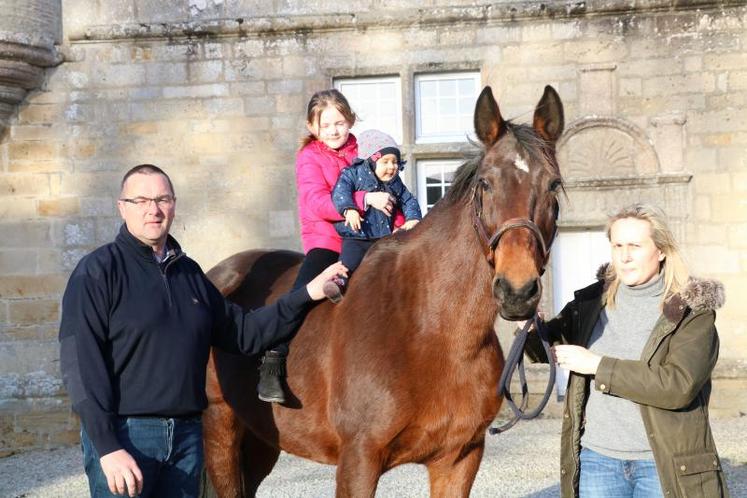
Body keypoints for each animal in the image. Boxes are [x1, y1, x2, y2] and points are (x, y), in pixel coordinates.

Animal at [202, 85, 564, 498]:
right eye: (485, 184)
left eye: (553, 185)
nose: (517, 291)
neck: (428, 328)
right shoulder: (358, 459)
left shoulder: (460, 457)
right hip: (220, 425)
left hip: (261, 440)